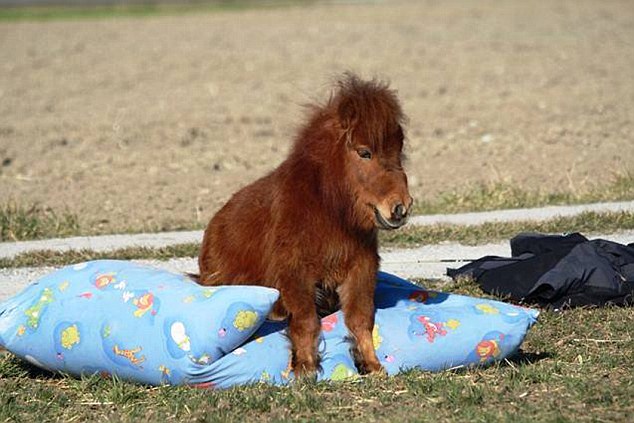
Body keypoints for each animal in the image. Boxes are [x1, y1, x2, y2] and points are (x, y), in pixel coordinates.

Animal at [199, 73, 414, 378]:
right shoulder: (295, 274)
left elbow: (361, 320)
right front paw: (305, 366)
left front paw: (372, 365)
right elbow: (305, 320)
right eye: (364, 152)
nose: (400, 207)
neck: (327, 213)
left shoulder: (361, 270)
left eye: (399, 150)